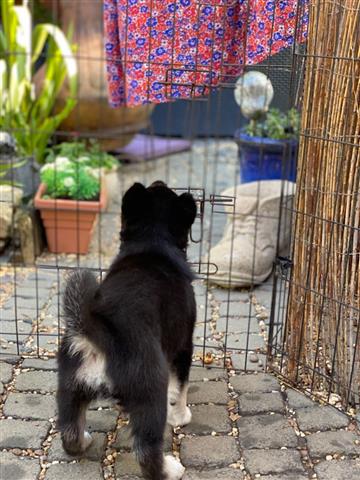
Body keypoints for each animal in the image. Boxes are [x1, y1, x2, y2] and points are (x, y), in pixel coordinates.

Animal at [57, 181, 197, 480]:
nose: (158, 182)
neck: (151, 243)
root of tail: (98, 333)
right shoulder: (184, 346)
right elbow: (181, 387)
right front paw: (181, 417)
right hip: (151, 389)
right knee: (147, 451)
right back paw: (170, 469)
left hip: (70, 385)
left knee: (69, 432)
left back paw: (83, 441)